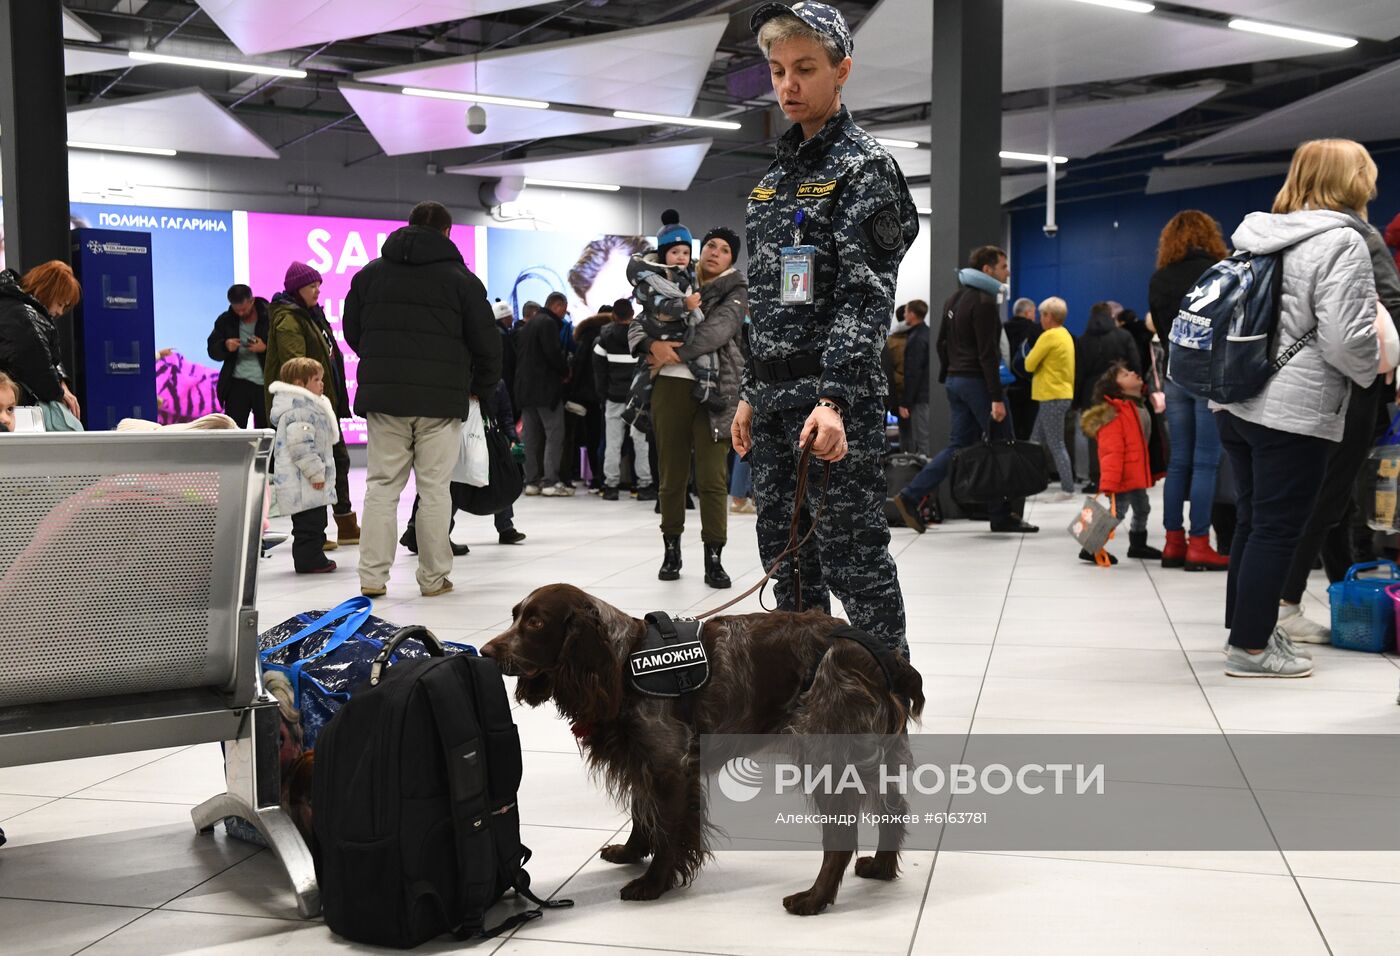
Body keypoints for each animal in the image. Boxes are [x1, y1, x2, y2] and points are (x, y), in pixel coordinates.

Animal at [476, 579, 924, 918]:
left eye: (536, 621)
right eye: (515, 615)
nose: (485, 652)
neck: (621, 663)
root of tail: (881, 655)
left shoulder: (670, 765)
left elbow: (668, 831)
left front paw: (653, 883)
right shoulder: (644, 760)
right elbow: (642, 813)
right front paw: (631, 851)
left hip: (827, 755)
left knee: (842, 838)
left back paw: (814, 899)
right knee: (893, 810)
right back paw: (882, 867)